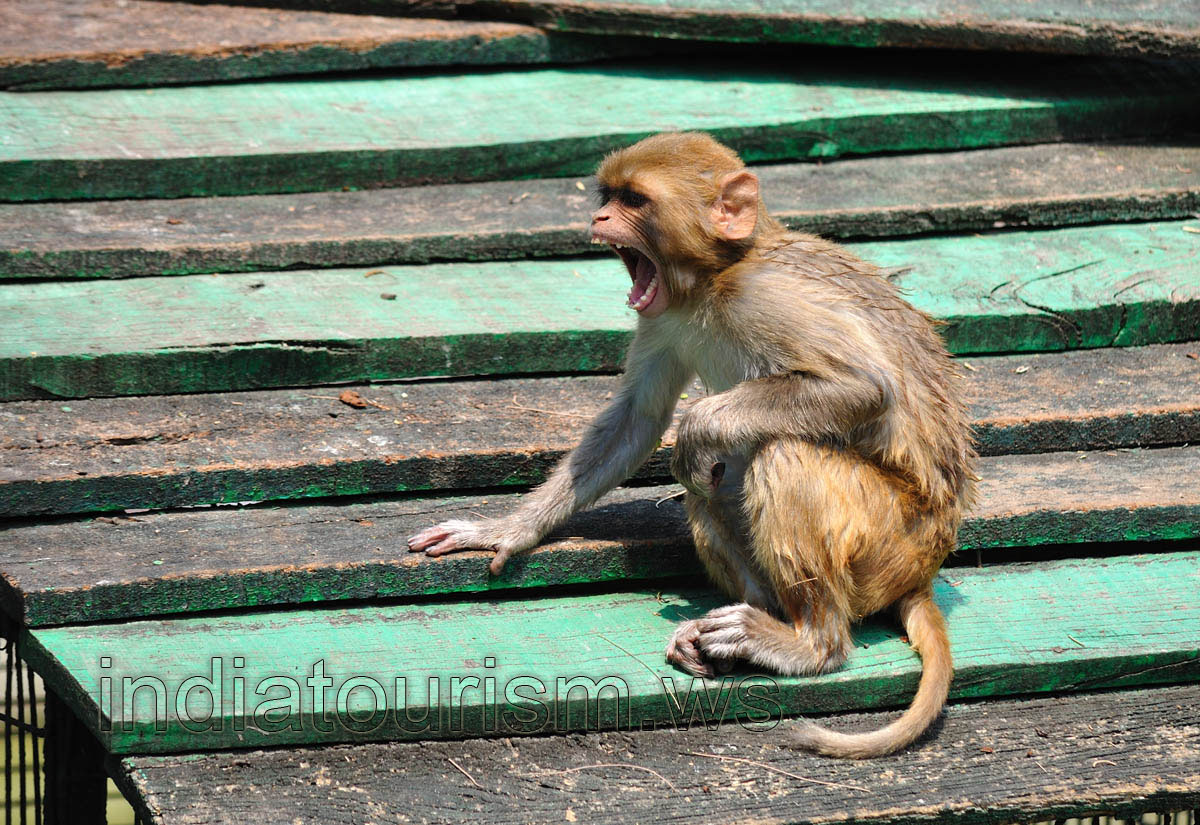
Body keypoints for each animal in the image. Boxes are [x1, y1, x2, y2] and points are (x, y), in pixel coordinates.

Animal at [409, 131, 976, 758]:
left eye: (634, 200)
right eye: (608, 196)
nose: (598, 217)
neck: (710, 280)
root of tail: (923, 570)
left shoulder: (764, 297)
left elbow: (865, 387)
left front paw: (699, 425)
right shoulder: (663, 317)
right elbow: (637, 418)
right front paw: (506, 530)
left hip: (891, 539)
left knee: (779, 454)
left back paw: (809, 642)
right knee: (712, 486)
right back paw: (748, 617)